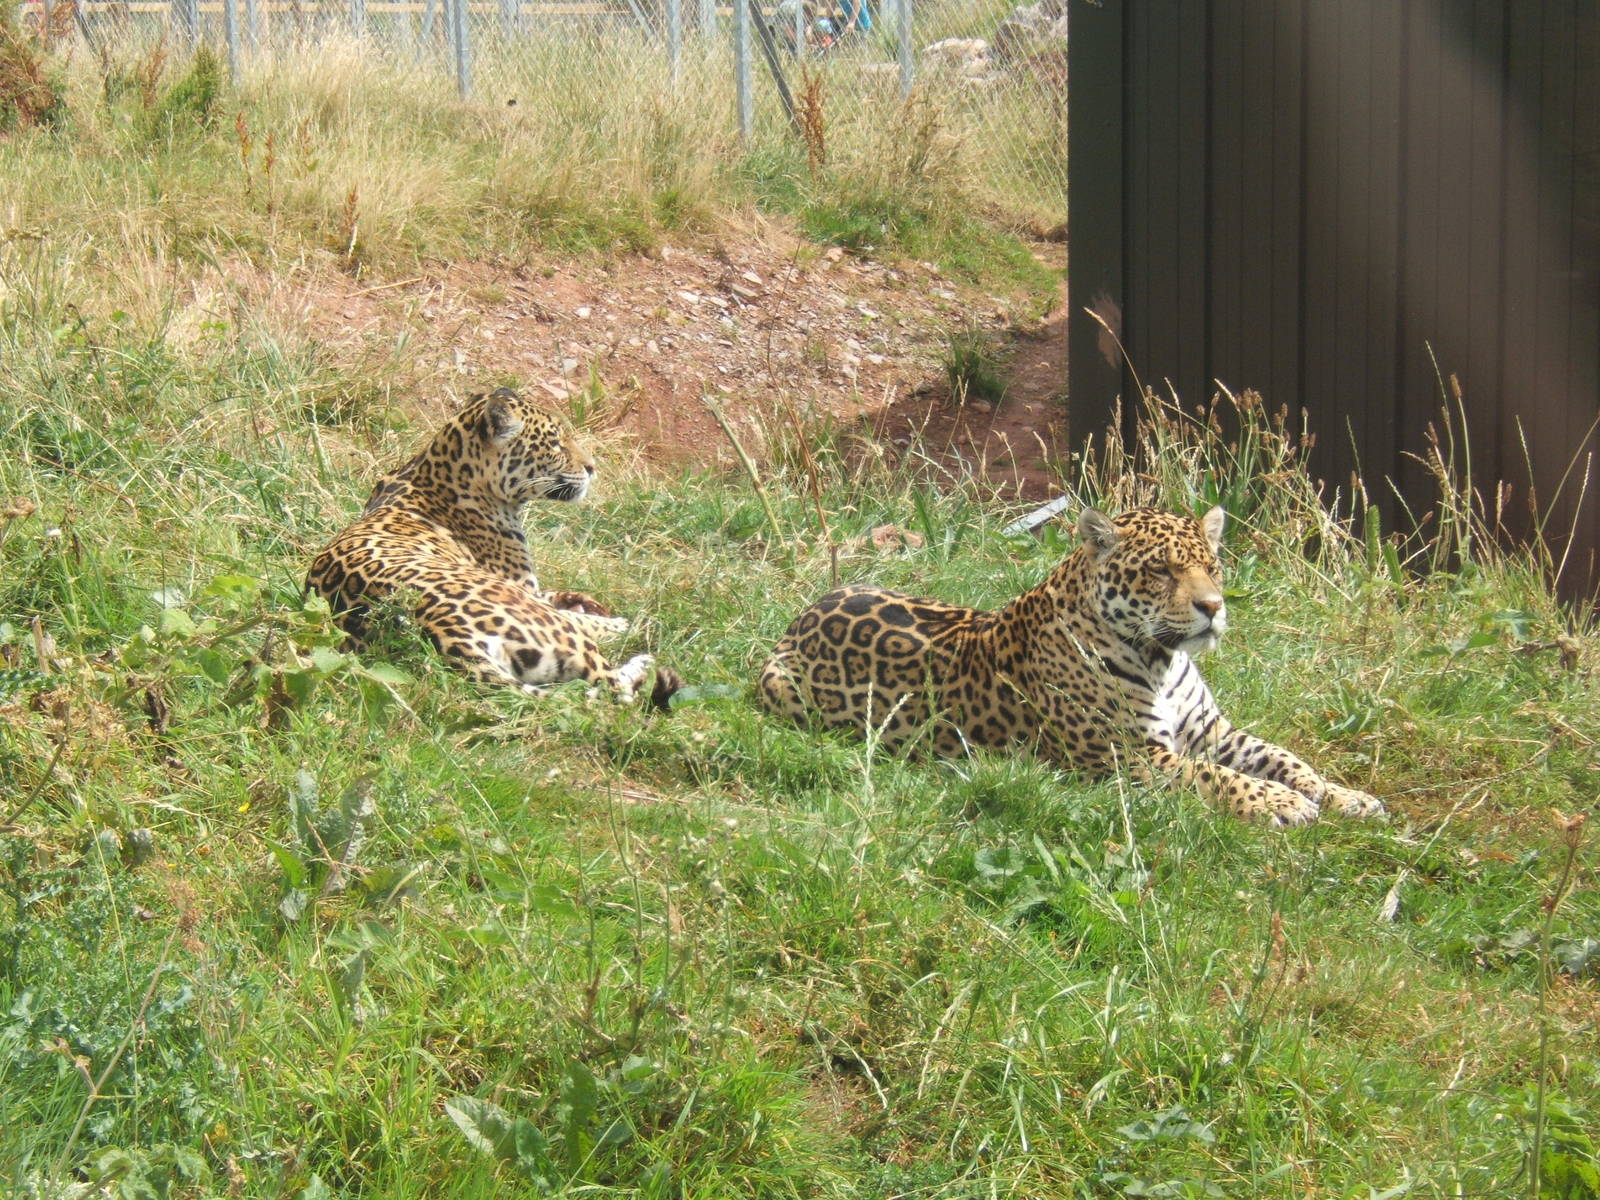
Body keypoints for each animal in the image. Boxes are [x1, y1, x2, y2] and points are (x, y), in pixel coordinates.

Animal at [306, 388, 678, 707]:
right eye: (555, 443)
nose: (592, 468)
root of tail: (444, 636)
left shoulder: (529, 586)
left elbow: (560, 595)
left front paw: (583, 600)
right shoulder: (523, 589)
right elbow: (584, 617)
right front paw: (618, 620)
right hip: (555, 630)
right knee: (612, 687)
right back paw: (643, 656)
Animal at [758, 505, 1384, 826]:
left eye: (1212, 566)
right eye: (1161, 570)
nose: (1213, 607)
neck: (1163, 659)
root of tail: (802, 615)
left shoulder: (1213, 731)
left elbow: (1284, 758)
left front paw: (1343, 796)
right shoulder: (1130, 755)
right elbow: (1215, 776)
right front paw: (1283, 803)